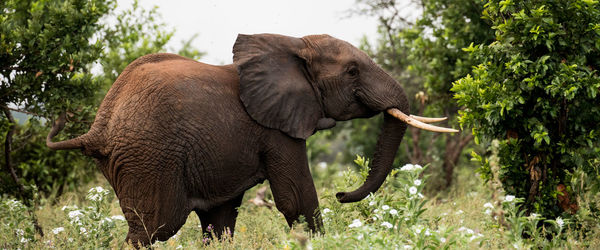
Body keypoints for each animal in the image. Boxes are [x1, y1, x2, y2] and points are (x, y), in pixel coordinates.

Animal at [47, 32, 458, 245]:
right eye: (353, 72)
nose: (342, 194)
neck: (294, 45)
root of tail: (99, 125)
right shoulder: (276, 129)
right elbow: (296, 198)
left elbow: (224, 218)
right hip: (147, 157)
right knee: (154, 227)